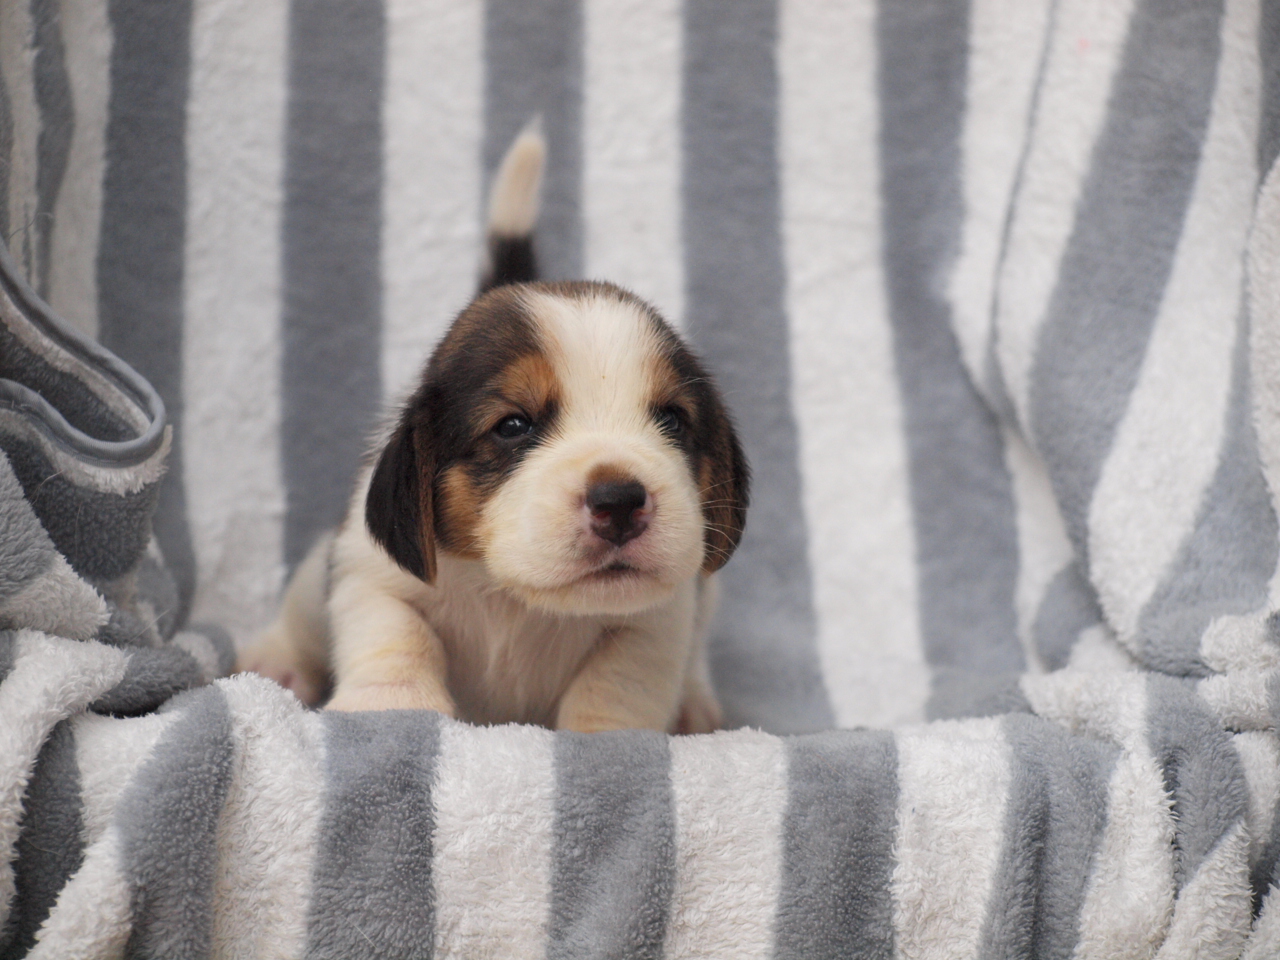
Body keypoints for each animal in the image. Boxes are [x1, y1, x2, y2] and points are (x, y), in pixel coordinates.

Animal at [239, 124, 748, 733]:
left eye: (671, 419)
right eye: (513, 426)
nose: (620, 500)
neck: (513, 597)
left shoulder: (656, 621)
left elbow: (618, 681)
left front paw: (606, 738)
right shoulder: (370, 576)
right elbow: (396, 636)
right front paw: (391, 706)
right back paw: (277, 659)